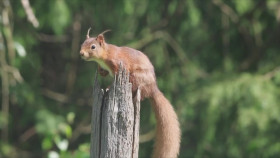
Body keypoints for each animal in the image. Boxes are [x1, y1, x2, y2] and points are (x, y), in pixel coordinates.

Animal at [79, 28, 179, 158]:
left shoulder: (119, 64)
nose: (81, 53)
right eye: (82, 44)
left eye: (93, 47)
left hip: (136, 77)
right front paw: (100, 71)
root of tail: (153, 89)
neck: (105, 55)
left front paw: (108, 86)